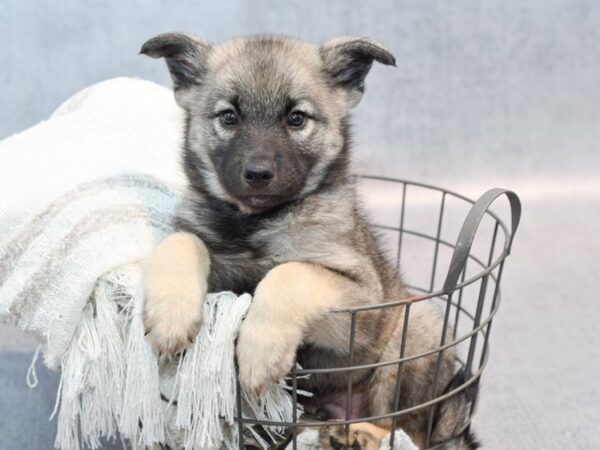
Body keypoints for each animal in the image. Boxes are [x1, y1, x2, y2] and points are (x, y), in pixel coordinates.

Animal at [138, 33, 476, 448]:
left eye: (296, 118)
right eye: (229, 116)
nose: (257, 173)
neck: (257, 222)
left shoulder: (362, 303)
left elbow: (290, 273)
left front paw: (259, 351)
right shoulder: (206, 245)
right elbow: (182, 243)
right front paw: (170, 316)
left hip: (416, 332)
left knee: (397, 426)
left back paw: (357, 434)